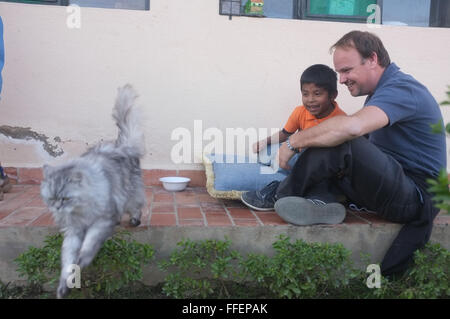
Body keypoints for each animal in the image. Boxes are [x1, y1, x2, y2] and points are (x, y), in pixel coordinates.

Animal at [40, 85, 146, 300]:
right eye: (52, 198)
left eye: (65, 198)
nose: (57, 208)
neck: (81, 212)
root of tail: (123, 145)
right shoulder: (72, 232)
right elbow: (67, 261)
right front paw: (64, 285)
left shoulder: (101, 221)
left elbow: (87, 248)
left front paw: (82, 261)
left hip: (130, 195)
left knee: (137, 205)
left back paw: (134, 220)